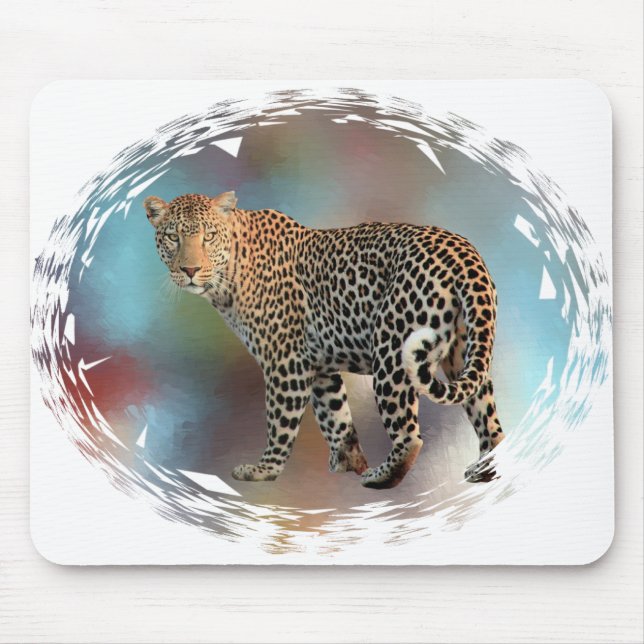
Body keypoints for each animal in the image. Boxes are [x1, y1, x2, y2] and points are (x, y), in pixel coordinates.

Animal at [144, 191, 505, 489]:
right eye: (173, 237)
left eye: (208, 237)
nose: (190, 270)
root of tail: (463, 253)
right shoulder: (319, 366)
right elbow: (336, 418)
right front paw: (347, 463)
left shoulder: (285, 362)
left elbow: (280, 422)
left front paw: (264, 470)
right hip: (466, 352)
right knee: (490, 423)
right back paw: (484, 471)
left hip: (391, 353)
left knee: (409, 436)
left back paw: (379, 478)